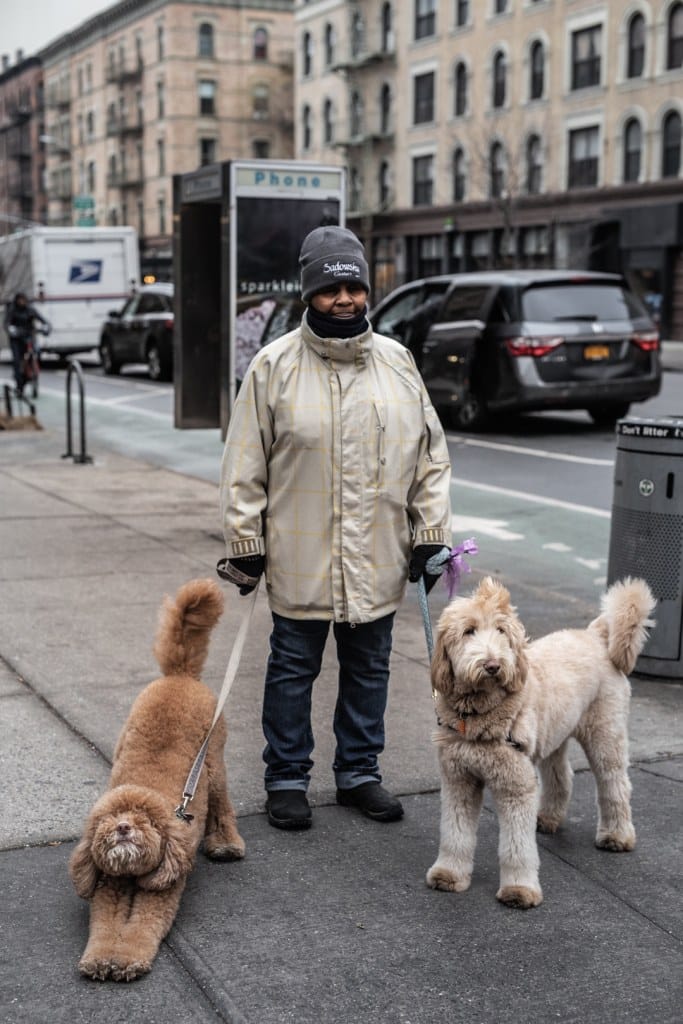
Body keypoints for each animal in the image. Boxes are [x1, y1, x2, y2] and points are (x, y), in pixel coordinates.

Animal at [68, 581, 245, 978]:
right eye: (110, 819)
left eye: (145, 821)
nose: (123, 828)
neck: (133, 874)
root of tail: (181, 674)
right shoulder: (109, 887)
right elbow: (105, 926)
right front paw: (100, 958)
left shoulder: (162, 889)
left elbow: (143, 927)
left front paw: (128, 959)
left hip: (215, 764)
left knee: (222, 803)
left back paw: (226, 843)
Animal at [428, 577, 655, 913]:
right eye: (469, 630)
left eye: (501, 631)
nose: (493, 665)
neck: (480, 712)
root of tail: (595, 635)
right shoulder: (459, 780)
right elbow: (454, 832)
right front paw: (449, 873)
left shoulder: (515, 786)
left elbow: (517, 845)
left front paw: (519, 889)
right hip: (554, 734)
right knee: (562, 776)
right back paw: (549, 817)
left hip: (605, 734)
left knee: (615, 784)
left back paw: (616, 835)